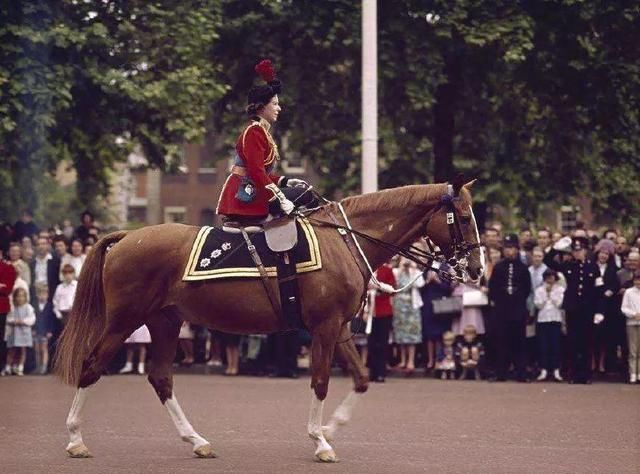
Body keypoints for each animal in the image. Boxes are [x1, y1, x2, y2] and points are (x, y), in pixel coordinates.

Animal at [55, 181, 482, 462]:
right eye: (462, 216)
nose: (476, 269)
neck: (344, 241)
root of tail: (128, 237)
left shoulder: (341, 328)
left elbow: (361, 379)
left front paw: (330, 429)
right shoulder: (325, 328)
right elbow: (321, 381)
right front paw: (320, 440)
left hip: (165, 323)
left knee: (161, 378)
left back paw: (196, 440)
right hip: (124, 321)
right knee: (92, 366)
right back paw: (75, 439)